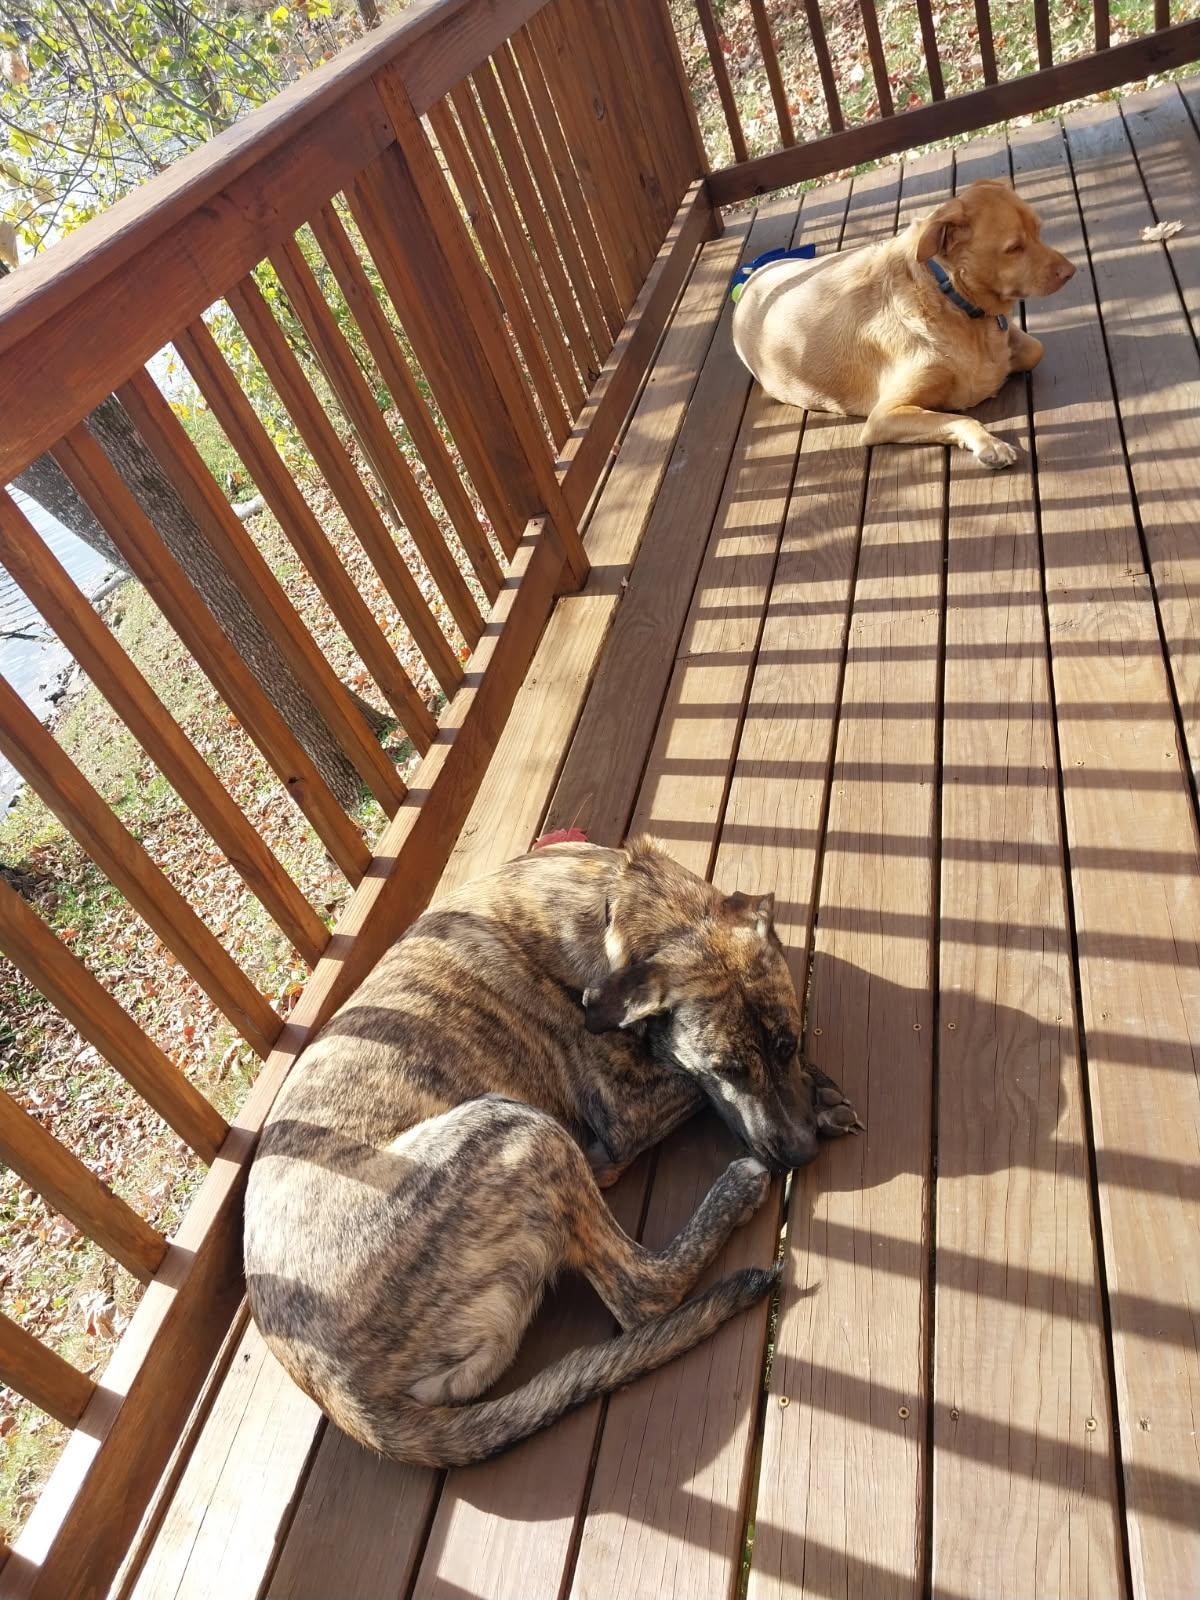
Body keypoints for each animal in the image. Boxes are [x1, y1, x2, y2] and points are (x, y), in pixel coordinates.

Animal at [245, 838, 860, 1467]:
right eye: (727, 1069)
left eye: (788, 1043)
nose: (800, 1154)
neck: (622, 904)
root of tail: (340, 1393)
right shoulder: (629, 1107)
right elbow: (684, 1085)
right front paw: (817, 1099)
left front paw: (819, 1093)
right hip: (524, 1133)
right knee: (643, 1292)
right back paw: (735, 1191)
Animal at [732, 177, 1075, 468]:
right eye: (1014, 248)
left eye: (1038, 230)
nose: (1071, 271)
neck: (948, 294)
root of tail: (750, 279)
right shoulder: (883, 417)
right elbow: (958, 418)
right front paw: (990, 443)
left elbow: (1036, 349)